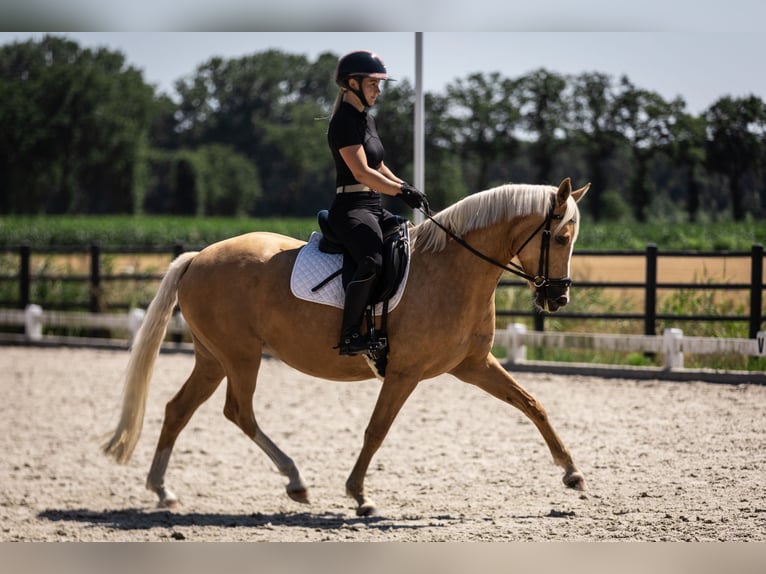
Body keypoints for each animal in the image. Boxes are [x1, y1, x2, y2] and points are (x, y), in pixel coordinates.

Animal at [103, 177, 589, 517]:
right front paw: (360, 496)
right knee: (238, 412)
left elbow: (532, 404)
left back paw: (164, 491)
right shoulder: (405, 372)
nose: (559, 299)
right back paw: (295, 481)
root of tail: (198, 257)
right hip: (240, 357)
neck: (453, 269)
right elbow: (376, 430)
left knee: (178, 409)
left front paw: (572, 472)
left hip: (213, 358)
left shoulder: (473, 364)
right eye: (561, 238)